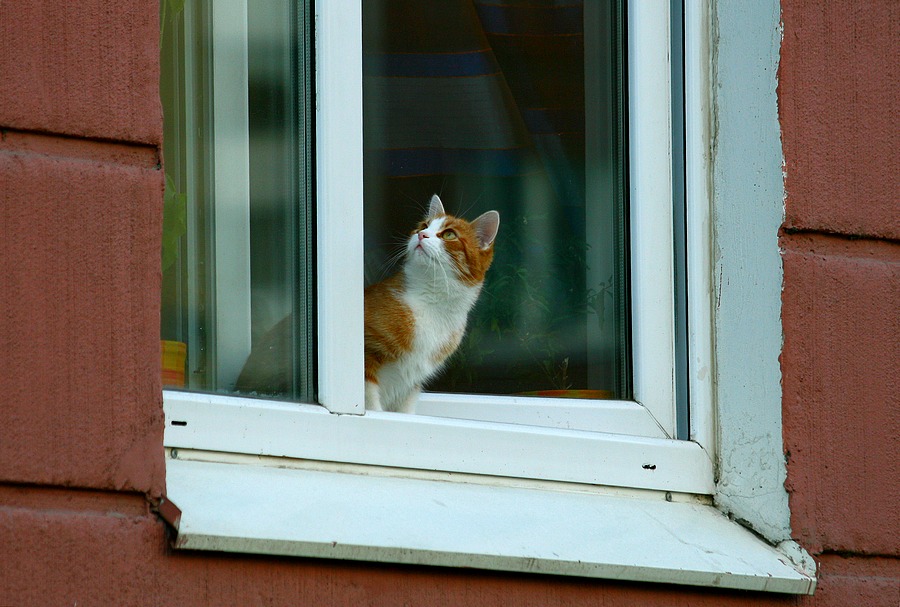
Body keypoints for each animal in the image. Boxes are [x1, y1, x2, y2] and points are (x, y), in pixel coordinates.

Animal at [362, 195, 500, 414]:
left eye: (449, 234)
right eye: (424, 225)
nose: (421, 234)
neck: (432, 303)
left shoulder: (410, 384)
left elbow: (406, 411)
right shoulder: (367, 356)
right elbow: (372, 404)